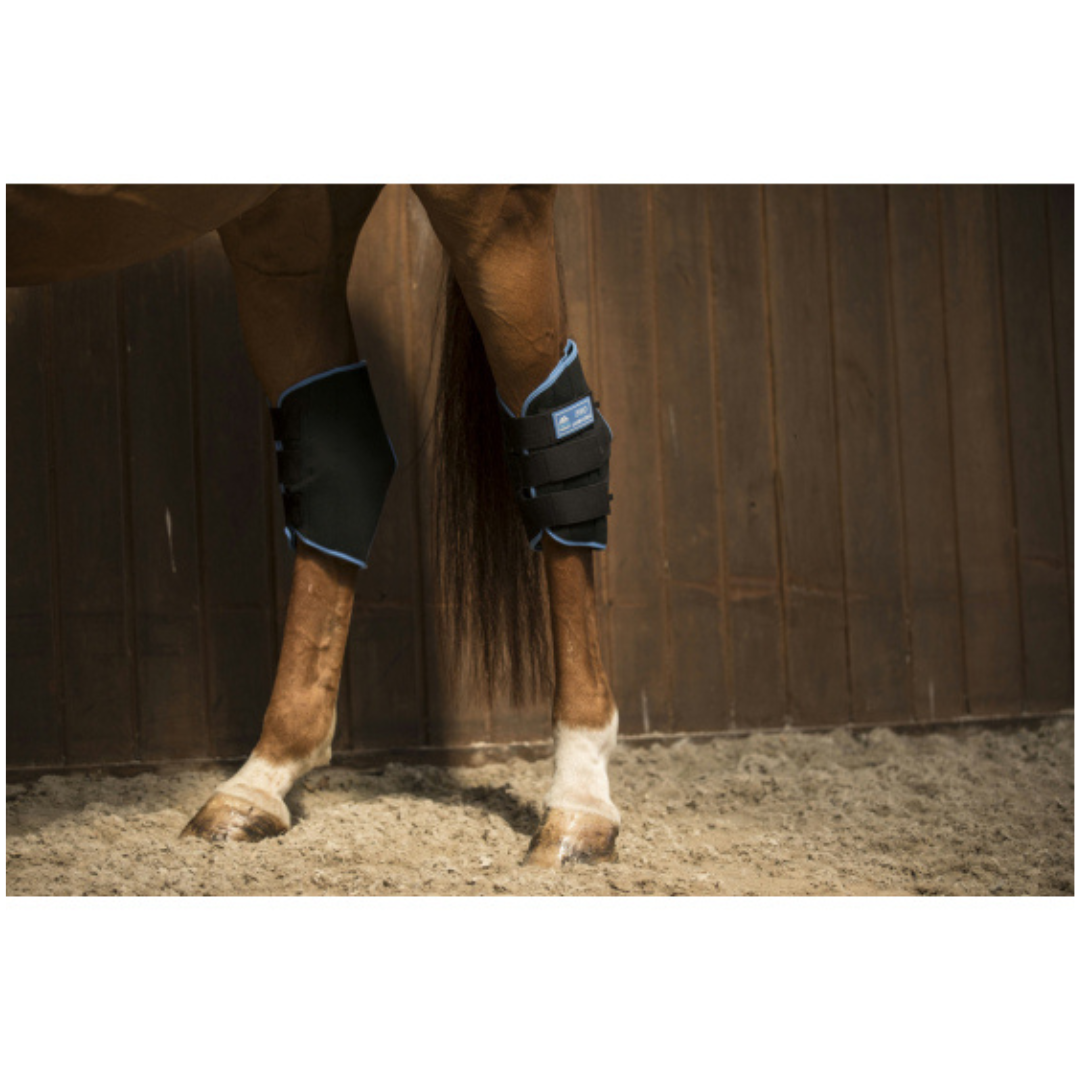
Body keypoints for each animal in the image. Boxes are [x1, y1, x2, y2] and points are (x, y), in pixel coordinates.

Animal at [7, 184, 619, 867]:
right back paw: (257, 783)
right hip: (284, 229)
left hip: (490, 212)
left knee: (551, 429)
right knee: (343, 465)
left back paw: (579, 804)